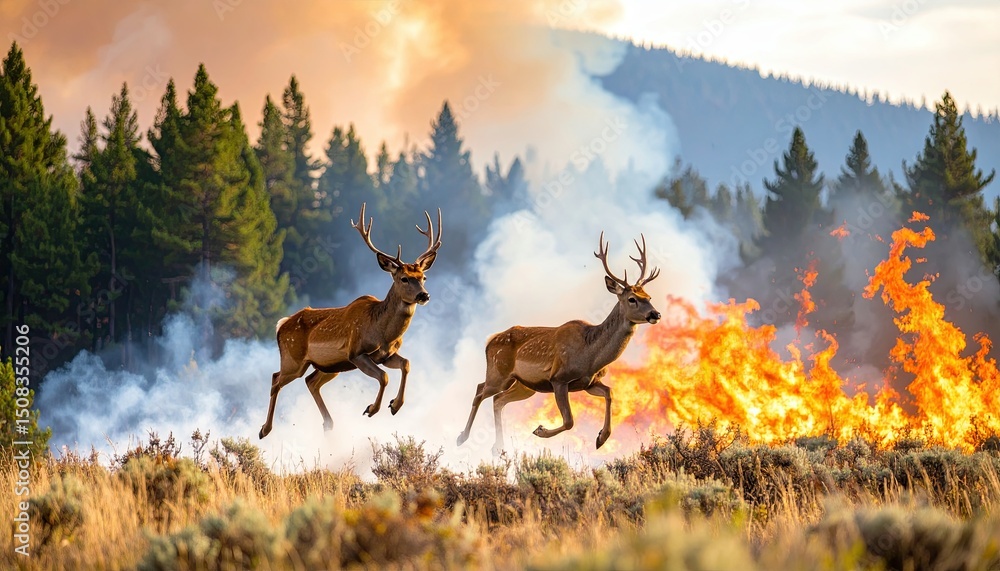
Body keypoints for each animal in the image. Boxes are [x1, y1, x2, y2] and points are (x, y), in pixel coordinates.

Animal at [259, 203, 442, 439]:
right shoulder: (356, 352)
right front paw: (372, 409)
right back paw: (264, 429)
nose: (424, 295)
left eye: (423, 277)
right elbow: (384, 377)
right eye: (404, 278)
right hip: (294, 359)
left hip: (330, 366)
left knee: (310, 382)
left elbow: (406, 364)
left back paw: (328, 424)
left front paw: (395, 405)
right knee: (276, 379)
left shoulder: (385, 355)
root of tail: (281, 325)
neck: (382, 332)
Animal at [456, 232, 662, 453]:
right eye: (632, 299)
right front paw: (540, 430)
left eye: (649, 296)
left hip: (525, 385)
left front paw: (601, 438)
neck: (591, 356)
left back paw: (498, 447)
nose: (655, 314)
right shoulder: (559, 379)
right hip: (499, 372)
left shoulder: (589, 383)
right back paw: (462, 437)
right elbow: (570, 420)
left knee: (497, 399)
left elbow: (610, 392)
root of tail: (489, 341)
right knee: (480, 392)